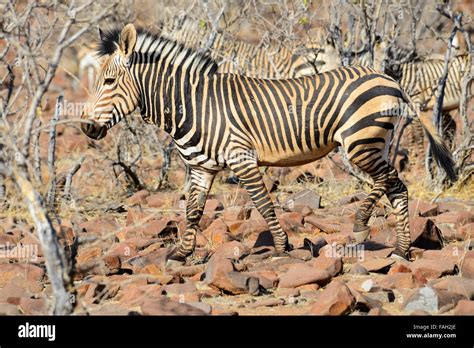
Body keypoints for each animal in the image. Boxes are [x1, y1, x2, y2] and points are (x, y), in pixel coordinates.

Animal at [80, 23, 456, 266]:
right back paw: (401, 250)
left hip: (360, 142)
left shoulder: (242, 158)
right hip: (374, 142)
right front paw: (181, 254)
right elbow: (193, 211)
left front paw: (280, 246)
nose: (85, 127)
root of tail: (387, 76)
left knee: (389, 181)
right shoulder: (200, 167)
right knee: (395, 186)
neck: (195, 105)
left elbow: (263, 205)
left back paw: (363, 224)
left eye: (109, 81)